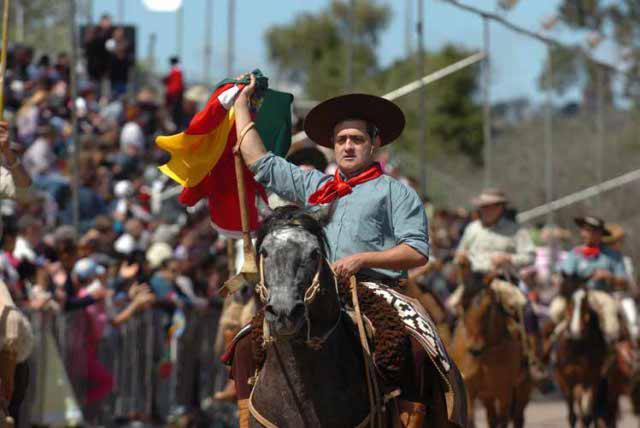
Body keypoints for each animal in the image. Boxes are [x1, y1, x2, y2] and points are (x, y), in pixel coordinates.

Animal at [448, 274, 532, 428]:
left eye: (488, 307)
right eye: (461, 306)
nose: (475, 348)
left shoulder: (504, 391)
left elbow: (504, 420)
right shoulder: (469, 389)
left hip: (523, 387)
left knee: (517, 417)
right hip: (487, 395)